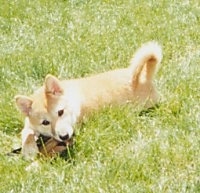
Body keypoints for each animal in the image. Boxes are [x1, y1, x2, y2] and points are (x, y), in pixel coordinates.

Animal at [15, 41, 162, 159]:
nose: (64, 136)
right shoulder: (30, 125)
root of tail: (144, 78)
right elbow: (26, 133)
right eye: (45, 122)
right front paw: (29, 149)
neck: (71, 99)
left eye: (60, 112)